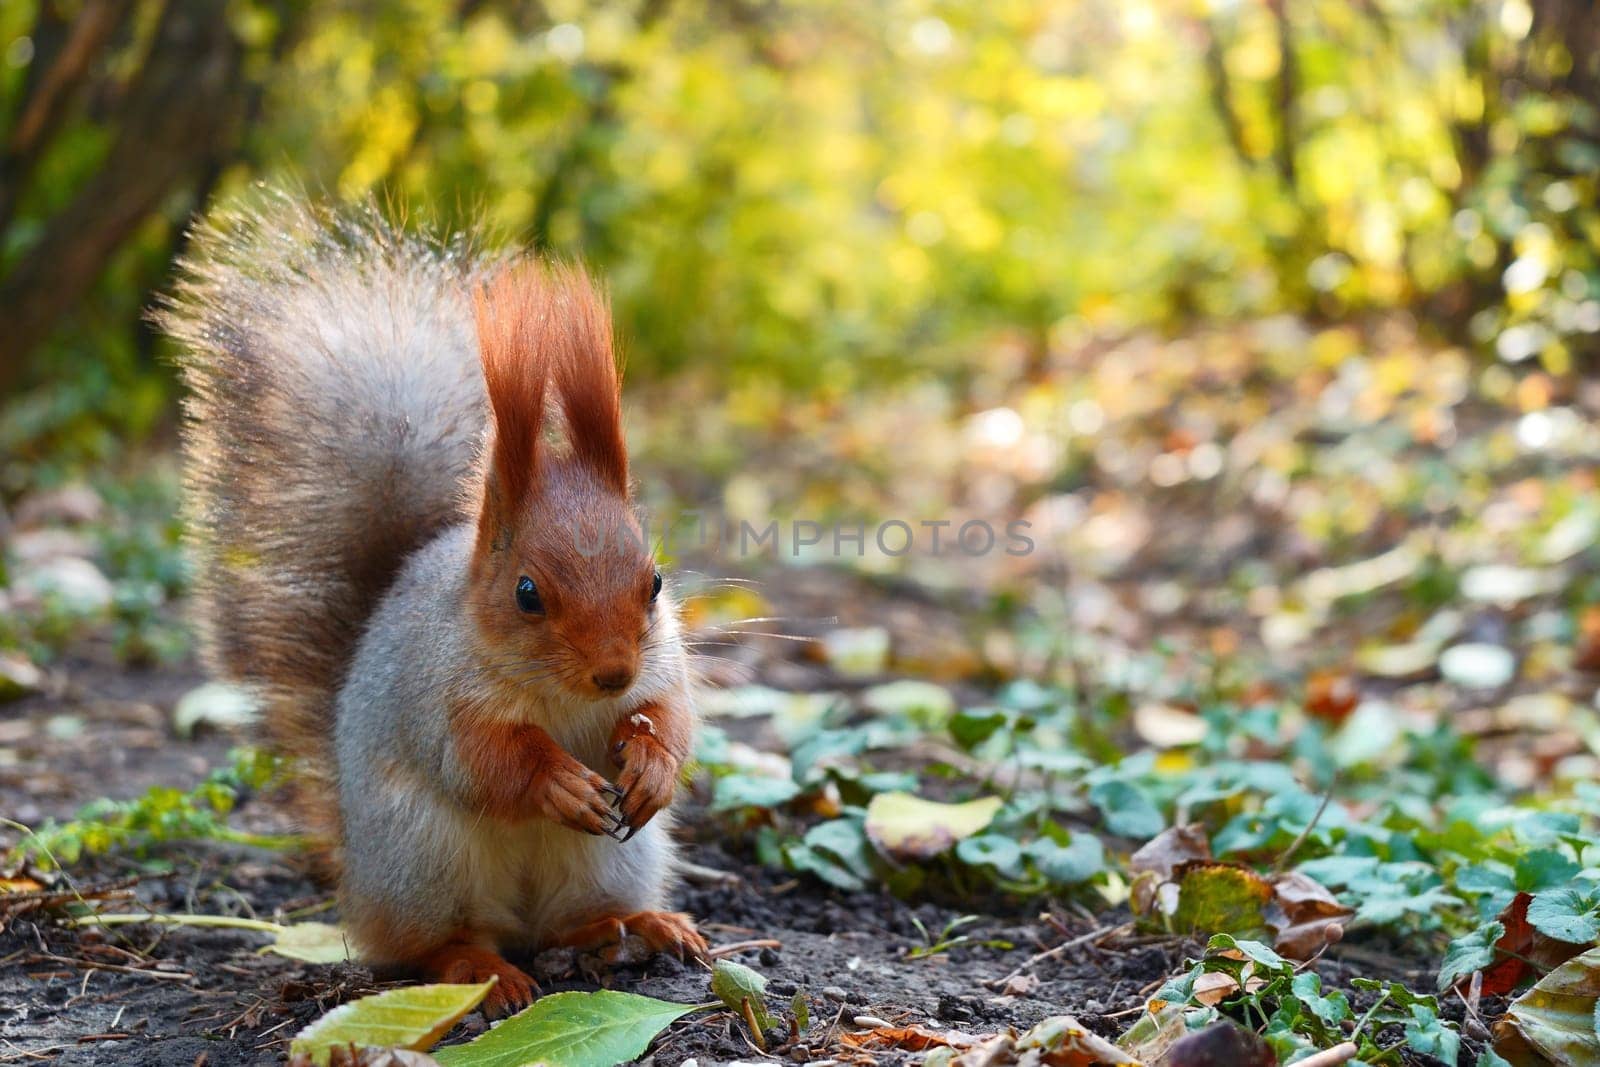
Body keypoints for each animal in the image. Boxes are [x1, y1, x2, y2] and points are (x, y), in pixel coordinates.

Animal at [162, 199, 707, 1017]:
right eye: (526, 593)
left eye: (656, 582)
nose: (612, 673)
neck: (561, 695)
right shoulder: (434, 692)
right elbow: (479, 759)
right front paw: (555, 779)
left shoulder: (662, 666)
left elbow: (671, 716)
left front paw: (652, 763)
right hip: (424, 857)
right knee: (432, 947)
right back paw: (487, 970)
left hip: (615, 857)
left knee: (568, 923)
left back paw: (638, 926)